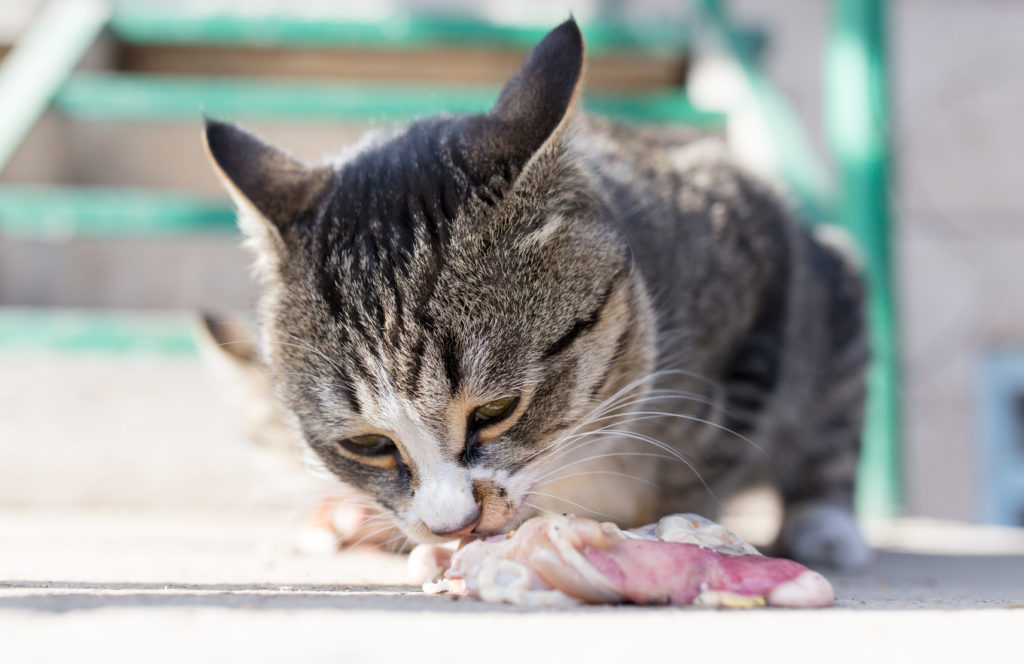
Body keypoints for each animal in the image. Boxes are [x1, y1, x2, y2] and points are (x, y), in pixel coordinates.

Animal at [205, 20, 872, 569]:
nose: (454, 526)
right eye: (367, 443)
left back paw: (825, 525)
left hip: (835, 294)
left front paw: (676, 530)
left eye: (496, 411)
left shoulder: (757, 272)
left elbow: (709, 463)